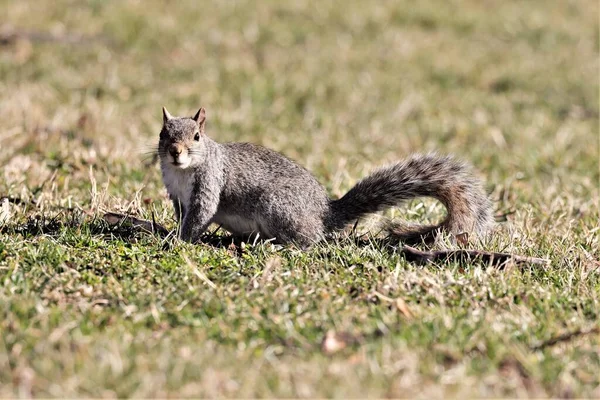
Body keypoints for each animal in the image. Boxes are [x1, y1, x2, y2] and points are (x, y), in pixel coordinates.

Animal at [157, 108, 494, 248]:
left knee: (309, 240)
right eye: (162, 133)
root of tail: (324, 213)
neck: (181, 172)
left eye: (197, 136)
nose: (175, 151)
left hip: (276, 207)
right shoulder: (178, 197)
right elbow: (183, 215)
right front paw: (169, 233)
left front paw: (179, 241)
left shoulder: (209, 184)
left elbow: (200, 216)